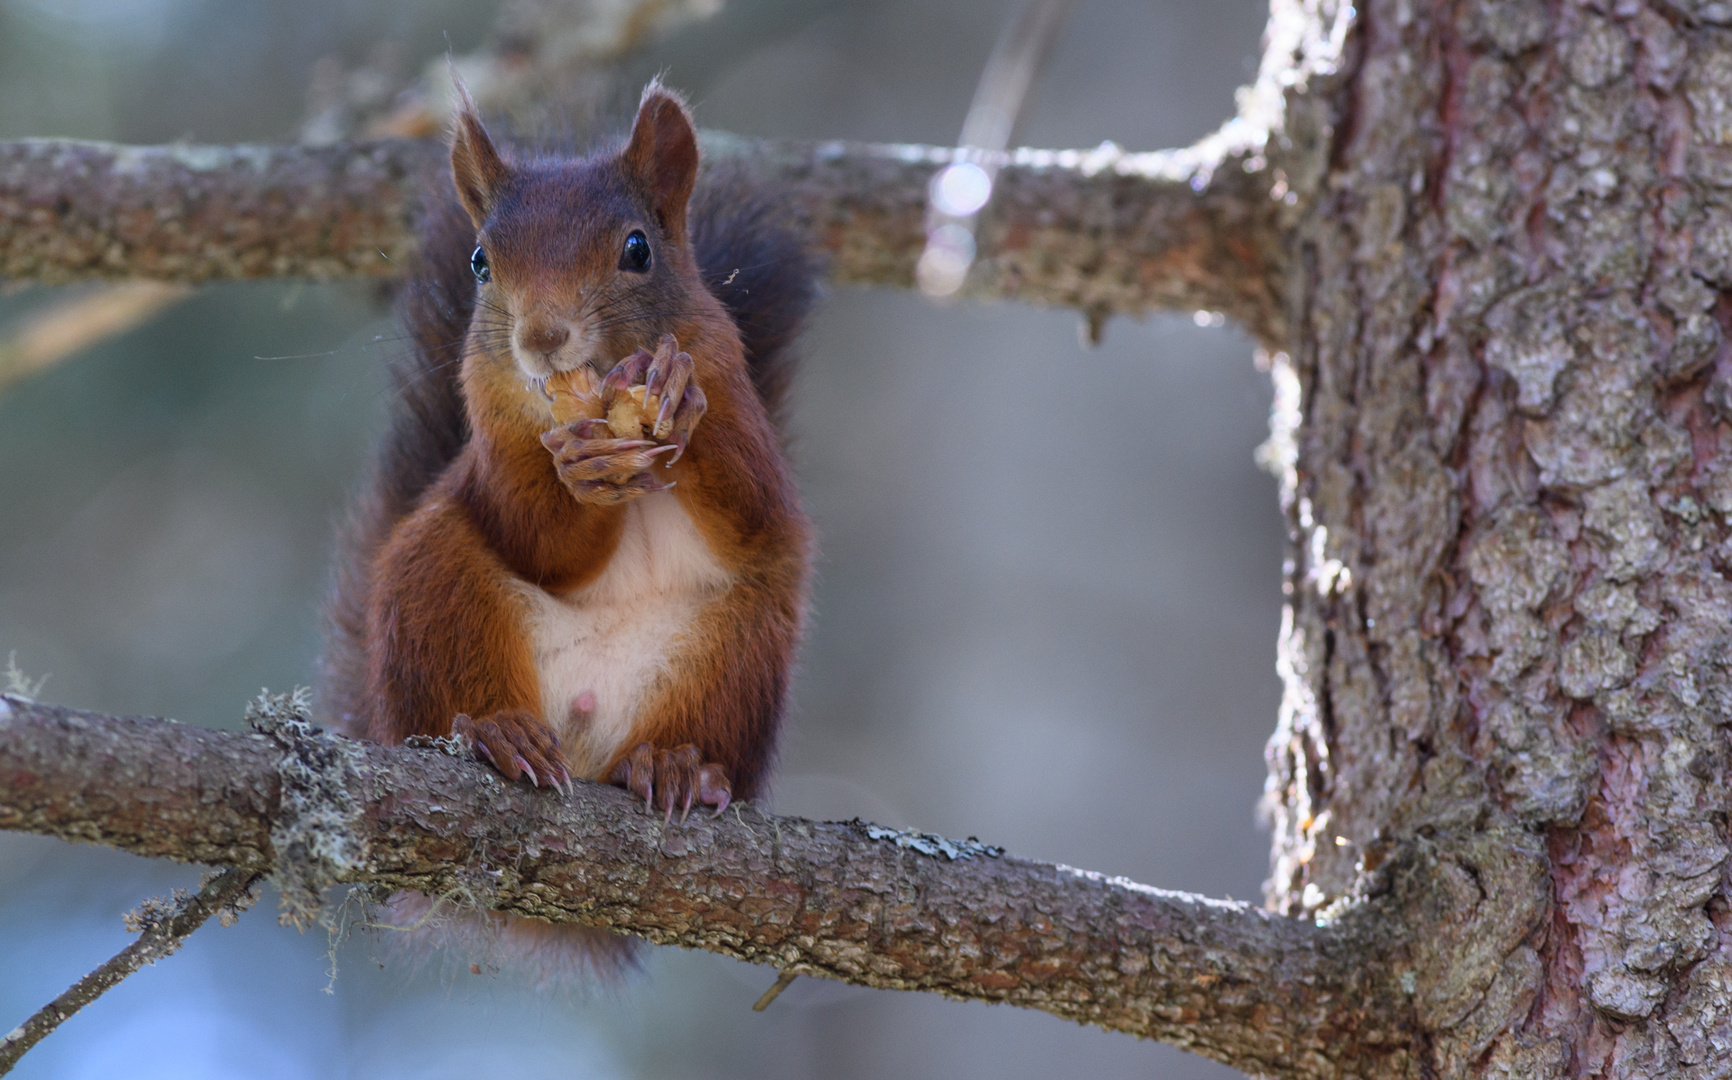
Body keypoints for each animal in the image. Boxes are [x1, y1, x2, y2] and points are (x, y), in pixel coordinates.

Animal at [316, 82, 810, 969]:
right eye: (481, 262)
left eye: (637, 249)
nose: (542, 340)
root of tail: (581, 744)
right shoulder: (495, 439)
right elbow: (536, 539)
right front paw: (582, 473)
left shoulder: (732, 374)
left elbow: (755, 507)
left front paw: (680, 400)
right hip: (434, 585)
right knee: (448, 699)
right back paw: (498, 734)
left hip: (742, 648)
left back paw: (679, 766)